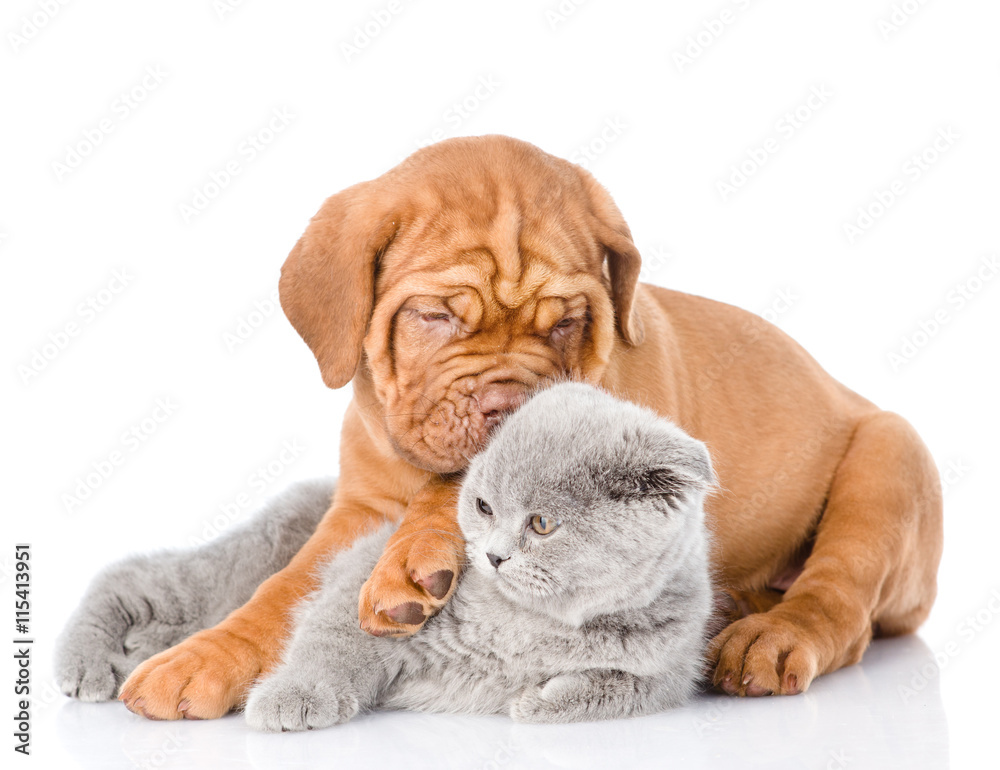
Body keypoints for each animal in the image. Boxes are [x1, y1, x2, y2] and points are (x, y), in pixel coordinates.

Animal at [241, 380, 712, 728]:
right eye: (484, 507)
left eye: (542, 523)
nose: (493, 556)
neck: (533, 623)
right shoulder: (375, 587)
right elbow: (331, 638)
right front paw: (293, 696)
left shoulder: (671, 670)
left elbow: (618, 688)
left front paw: (535, 701)